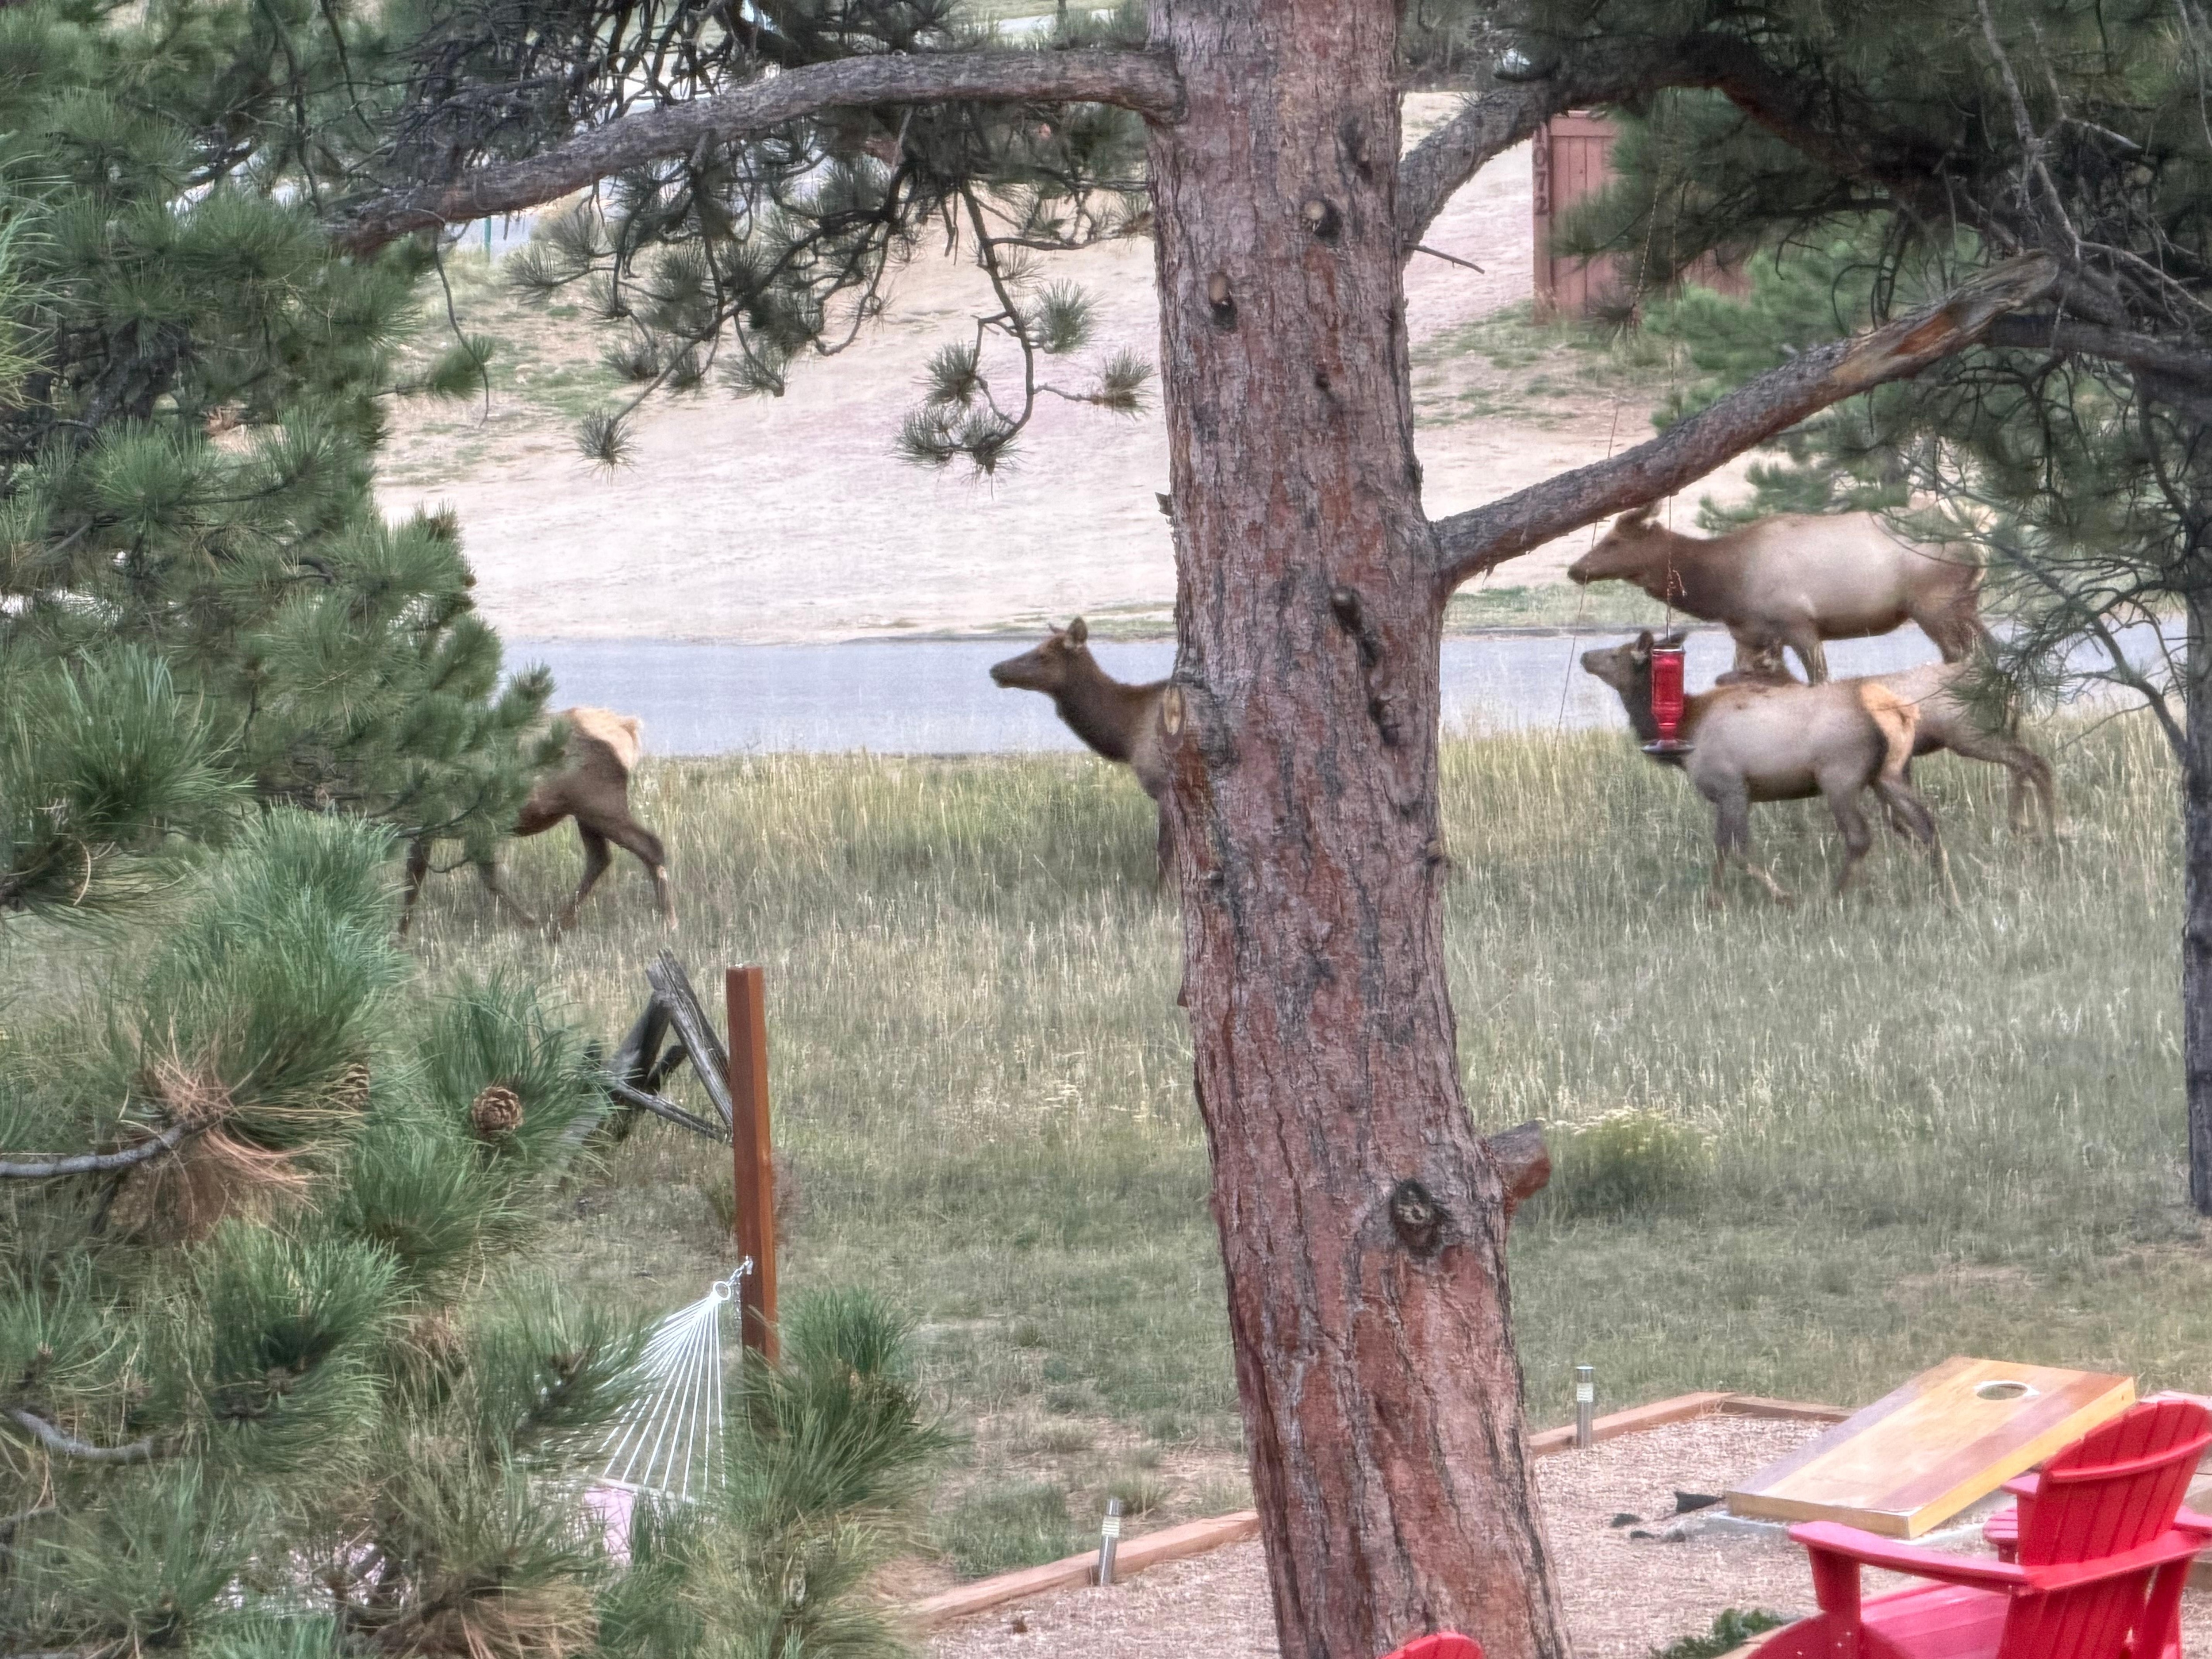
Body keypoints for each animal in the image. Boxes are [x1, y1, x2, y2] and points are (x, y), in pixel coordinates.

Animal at [397, 706, 675, 936]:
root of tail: (627, 727)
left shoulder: (428, 819)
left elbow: (416, 875)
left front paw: (400, 936)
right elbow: (482, 874)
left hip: (601, 805)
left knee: (649, 845)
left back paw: (669, 923)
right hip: (585, 813)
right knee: (600, 858)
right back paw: (560, 926)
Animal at [1566, 506, 1988, 684]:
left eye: (1614, 541)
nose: (1574, 569)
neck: (1725, 589)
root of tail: (1977, 547)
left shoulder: (1799, 623)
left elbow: (1820, 680)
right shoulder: (1750, 635)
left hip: (1934, 605)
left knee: (1960, 657)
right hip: (1967, 605)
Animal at [1581, 630, 1951, 906]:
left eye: (1616, 655)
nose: (1585, 656)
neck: (1689, 731)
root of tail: (1895, 711)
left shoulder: (1731, 786)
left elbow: (1737, 850)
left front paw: (1782, 895)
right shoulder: (1731, 793)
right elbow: (1721, 847)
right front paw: (1714, 900)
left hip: (1840, 776)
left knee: (1861, 837)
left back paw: (1833, 897)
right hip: (1889, 773)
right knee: (1927, 826)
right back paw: (1947, 895)